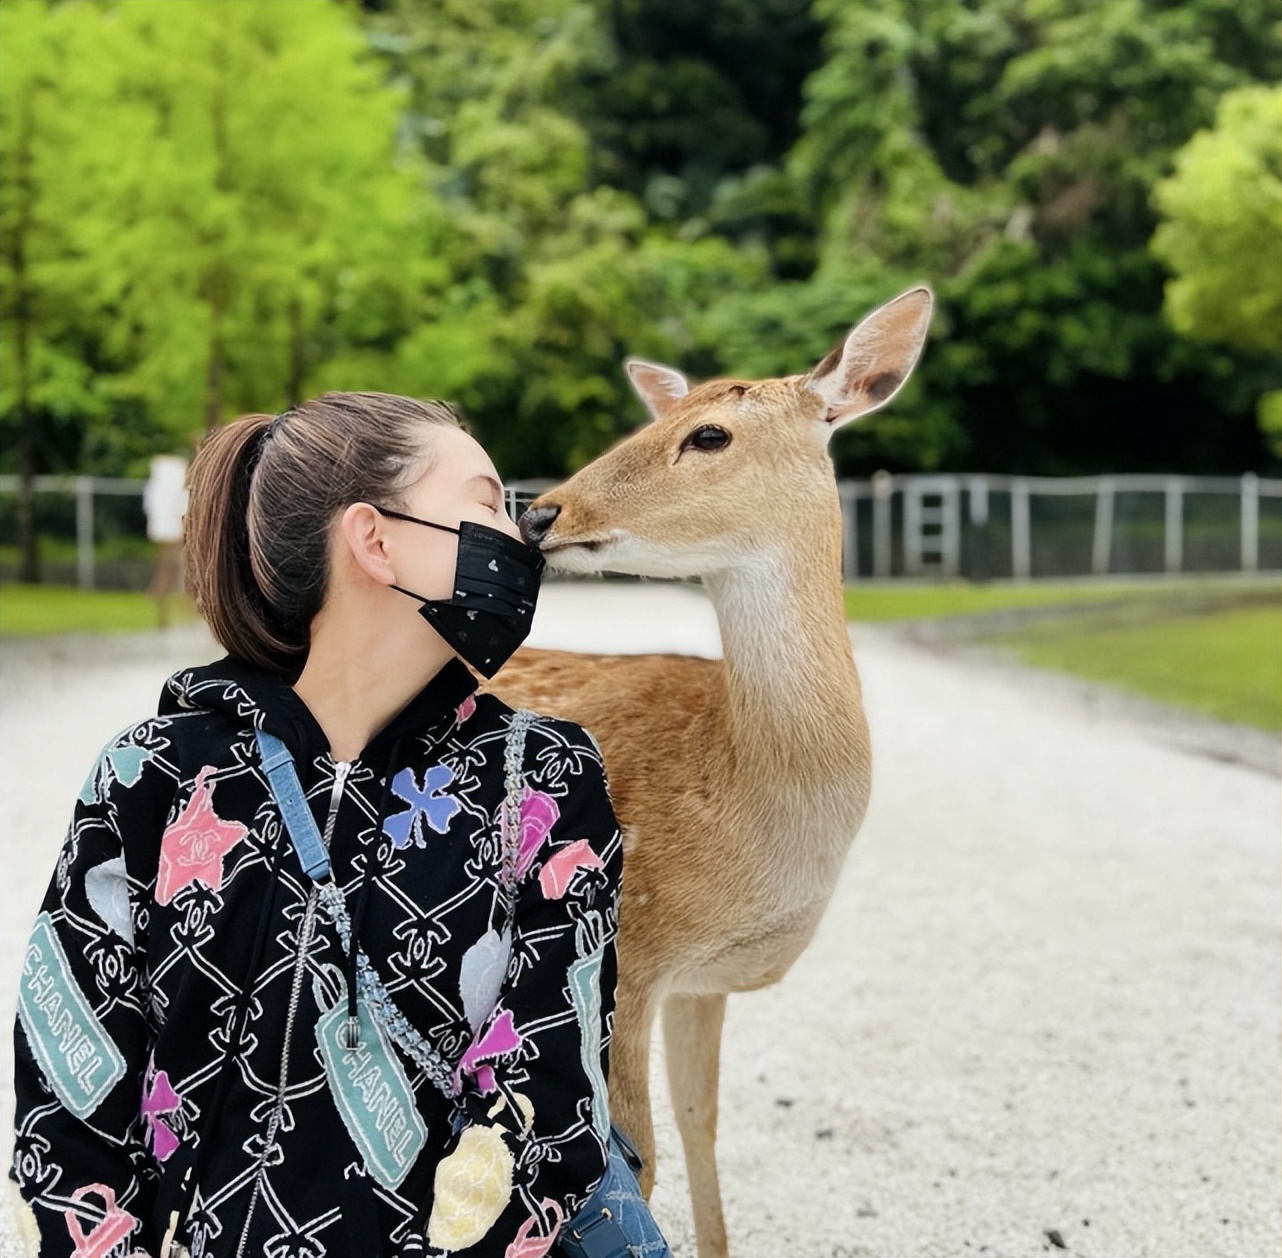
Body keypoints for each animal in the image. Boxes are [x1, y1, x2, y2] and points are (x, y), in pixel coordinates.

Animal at [487, 286, 934, 1258]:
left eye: (709, 435)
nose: (540, 513)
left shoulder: (696, 979)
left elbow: (701, 1122)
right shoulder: (630, 950)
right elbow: (635, 1156)